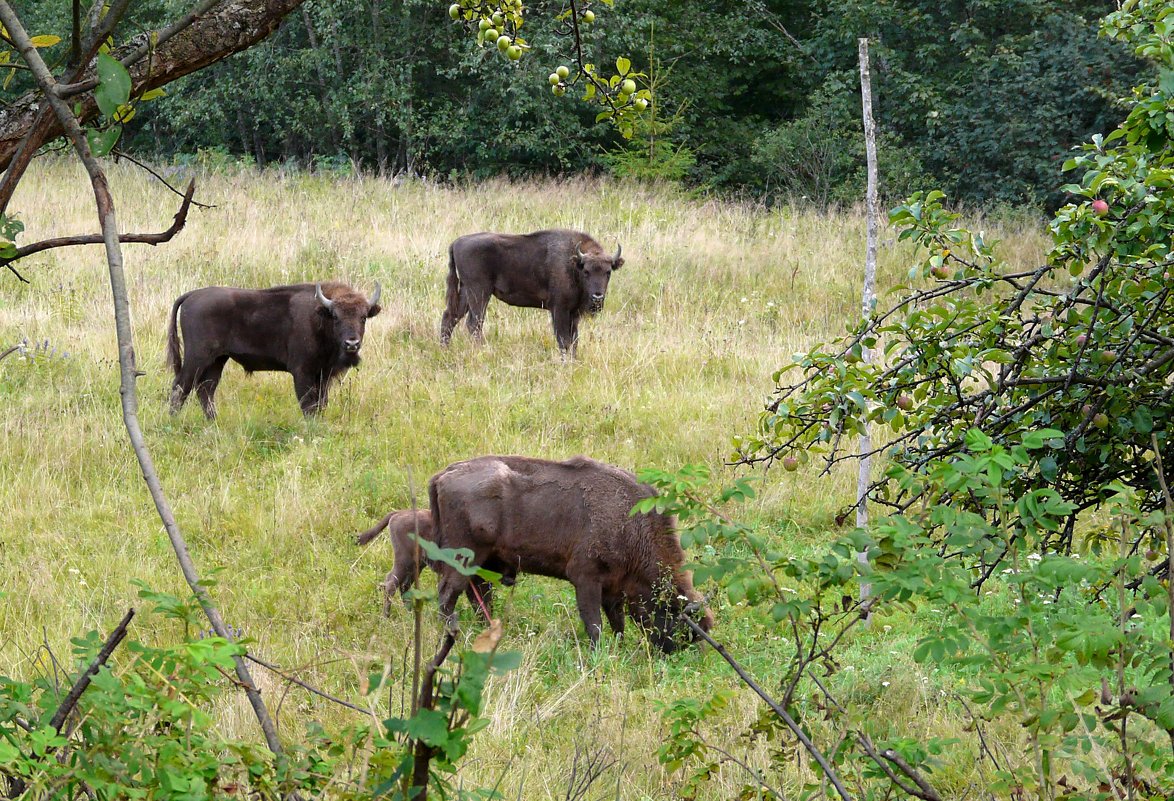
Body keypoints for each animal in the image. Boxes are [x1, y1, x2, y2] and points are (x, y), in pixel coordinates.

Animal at [166, 280, 380, 418]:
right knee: (181, 386)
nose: (352, 344)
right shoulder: (302, 372)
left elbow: (321, 403)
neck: (320, 315)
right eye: (336, 316)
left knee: (205, 389)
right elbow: (308, 405)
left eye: (363, 317)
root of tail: (192, 295)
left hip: (217, 360)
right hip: (197, 357)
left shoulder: (323, 375)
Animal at [422, 453, 709, 653]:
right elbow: (594, 624)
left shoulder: (613, 589)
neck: (630, 523)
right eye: (681, 627)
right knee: (448, 594)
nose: (675, 655)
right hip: (463, 558)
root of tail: (444, 474)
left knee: (478, 594)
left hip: (483, 562)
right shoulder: (586, 579)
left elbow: (617, 622)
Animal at [441, 231, 624, 354]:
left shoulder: (574, 314)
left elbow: (574, 341)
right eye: (586, 271)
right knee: (474, 323)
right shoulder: (559, 310)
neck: (574, 264)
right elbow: (564, 340)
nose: (597, 296)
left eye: (608, 272)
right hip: (479, 292)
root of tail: (457, 242)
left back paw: (445, 350)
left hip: (466, 291)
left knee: (450, 317)